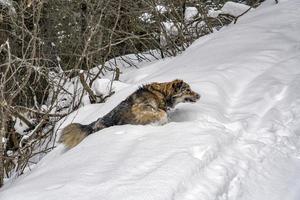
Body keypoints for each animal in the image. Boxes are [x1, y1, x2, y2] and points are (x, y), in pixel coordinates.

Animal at [58, 79, 199, 148]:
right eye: (188, 90)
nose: (199, 95)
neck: (160, 93)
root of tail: (93, 124)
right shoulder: (139, 108)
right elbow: (161, 113)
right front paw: (161, 122)